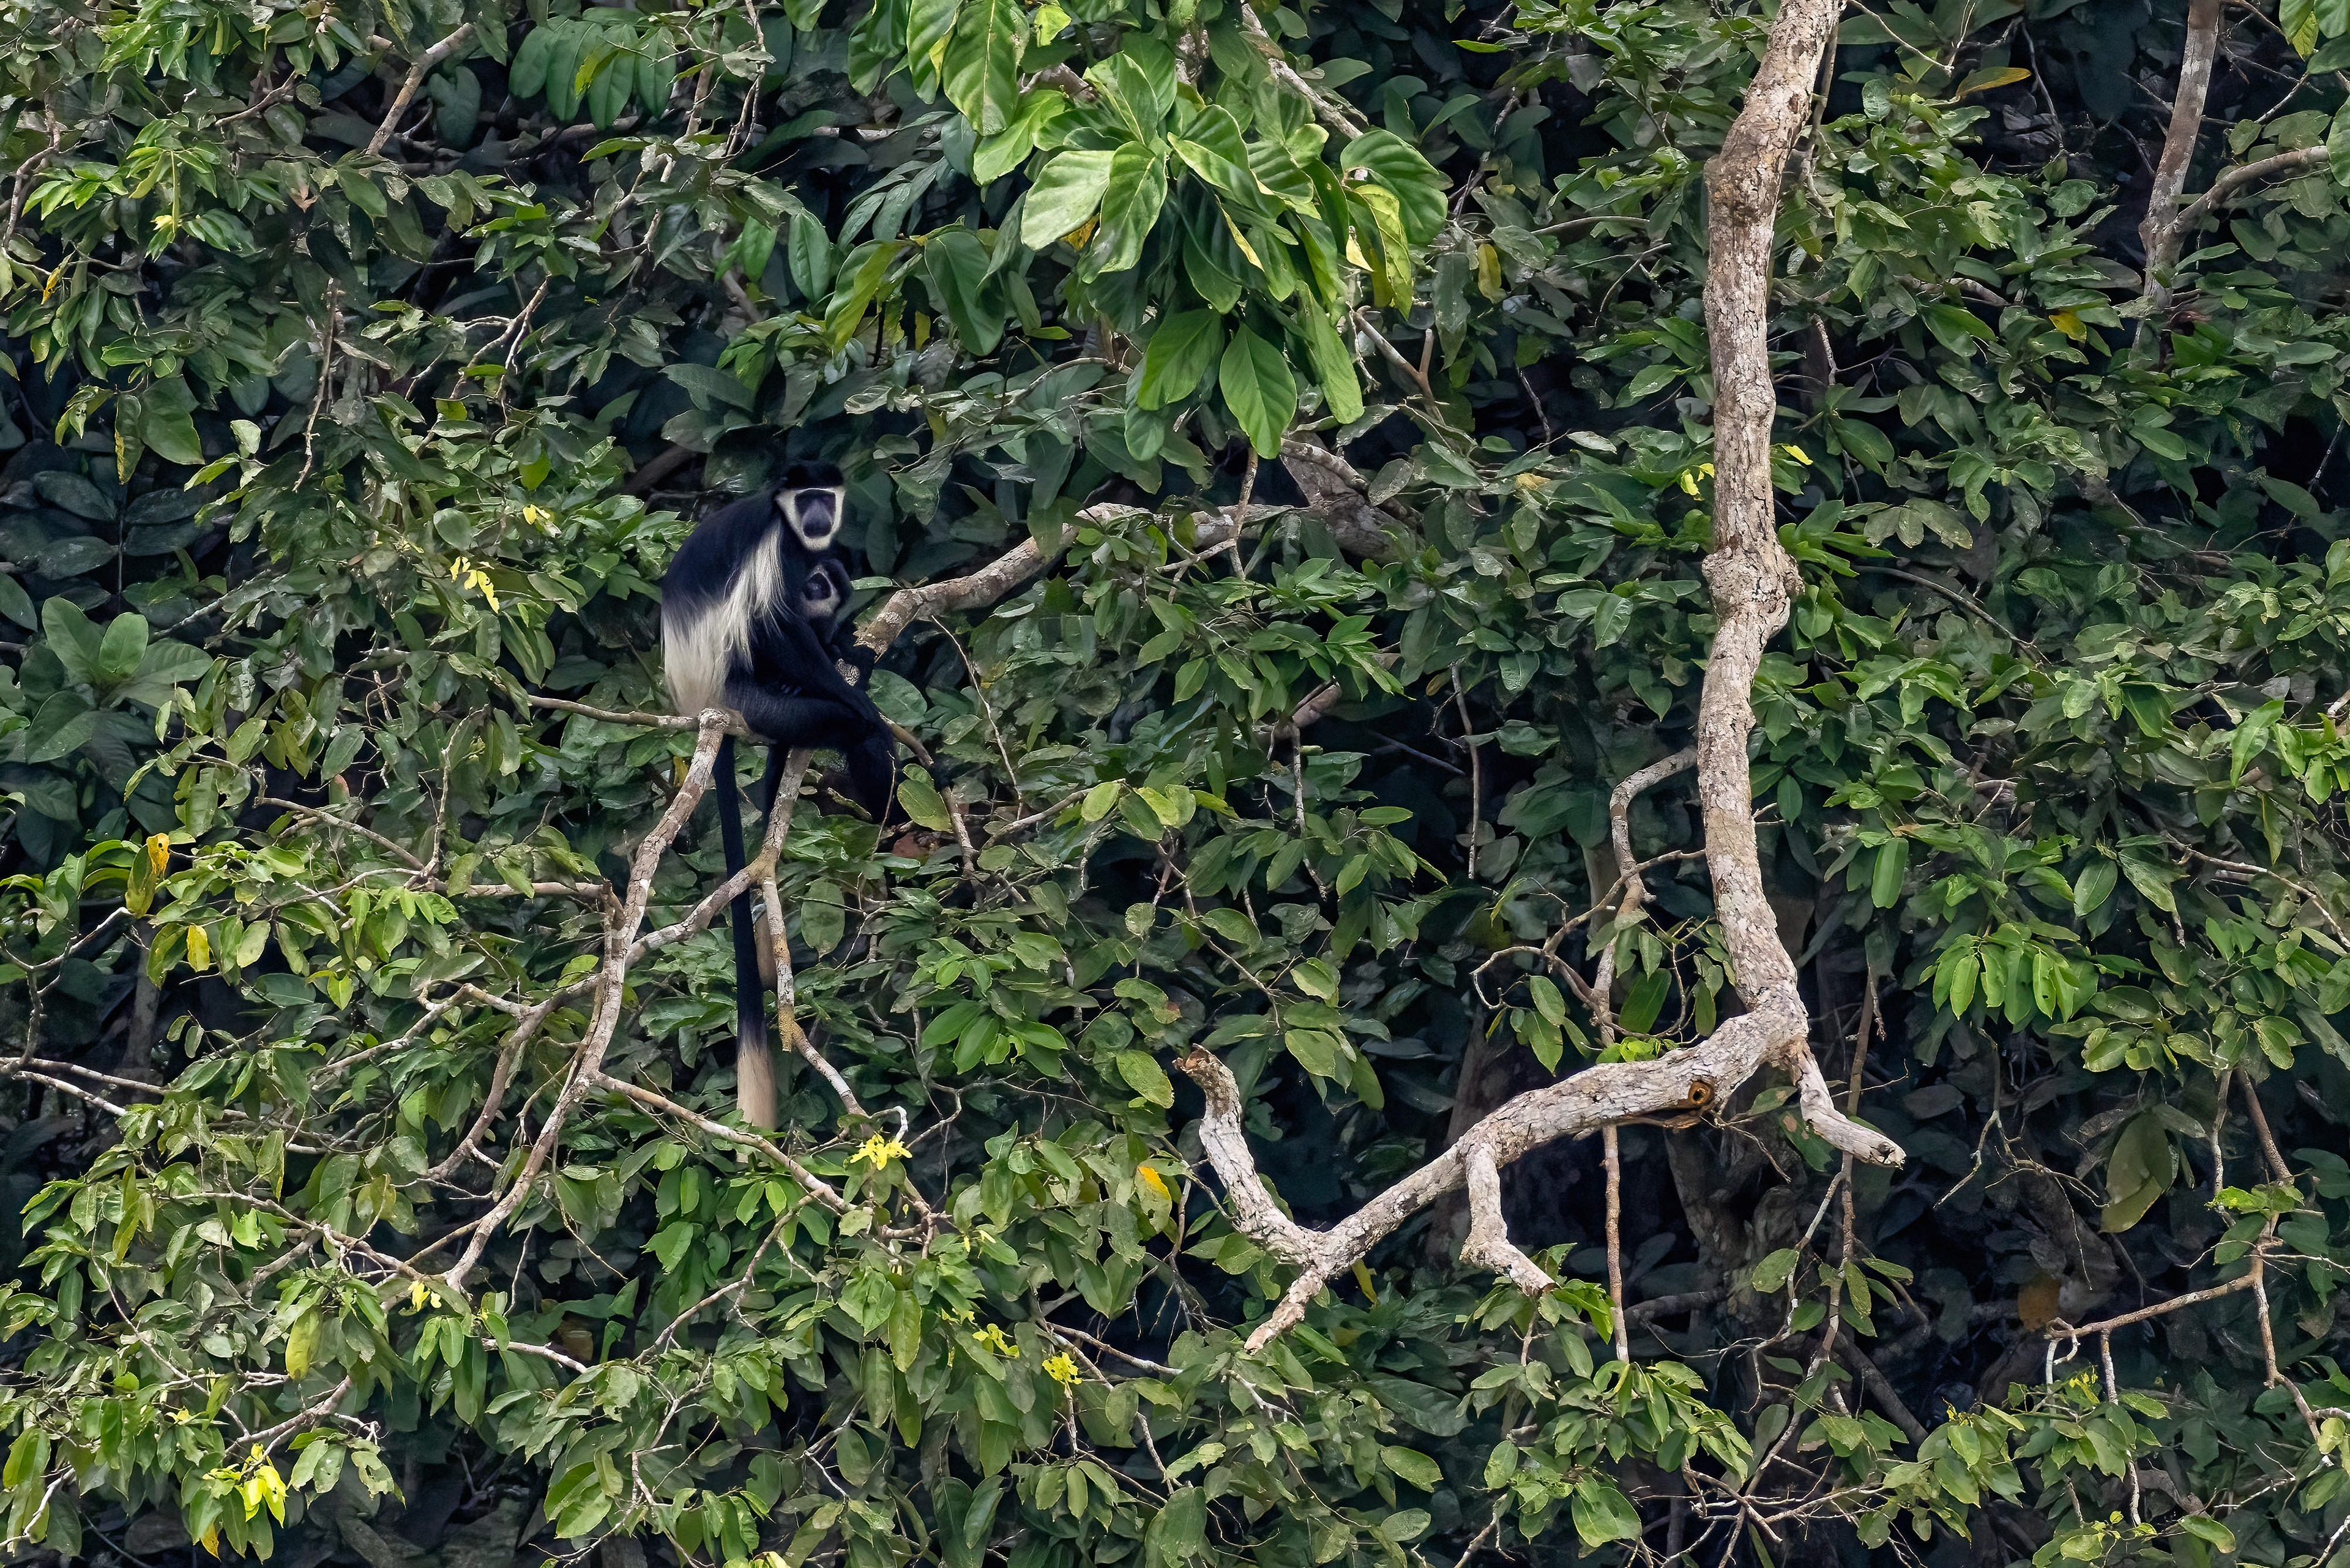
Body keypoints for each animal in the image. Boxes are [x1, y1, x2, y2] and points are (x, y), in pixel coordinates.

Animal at [661, 463, 897, 1127]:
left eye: (827, 499)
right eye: (807, 500)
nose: (819, 516)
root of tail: (706, 703)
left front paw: (848, 645)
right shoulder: (777, 553)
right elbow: (779, 623)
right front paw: (858, 693)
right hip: (748, 694)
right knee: (827, 711)